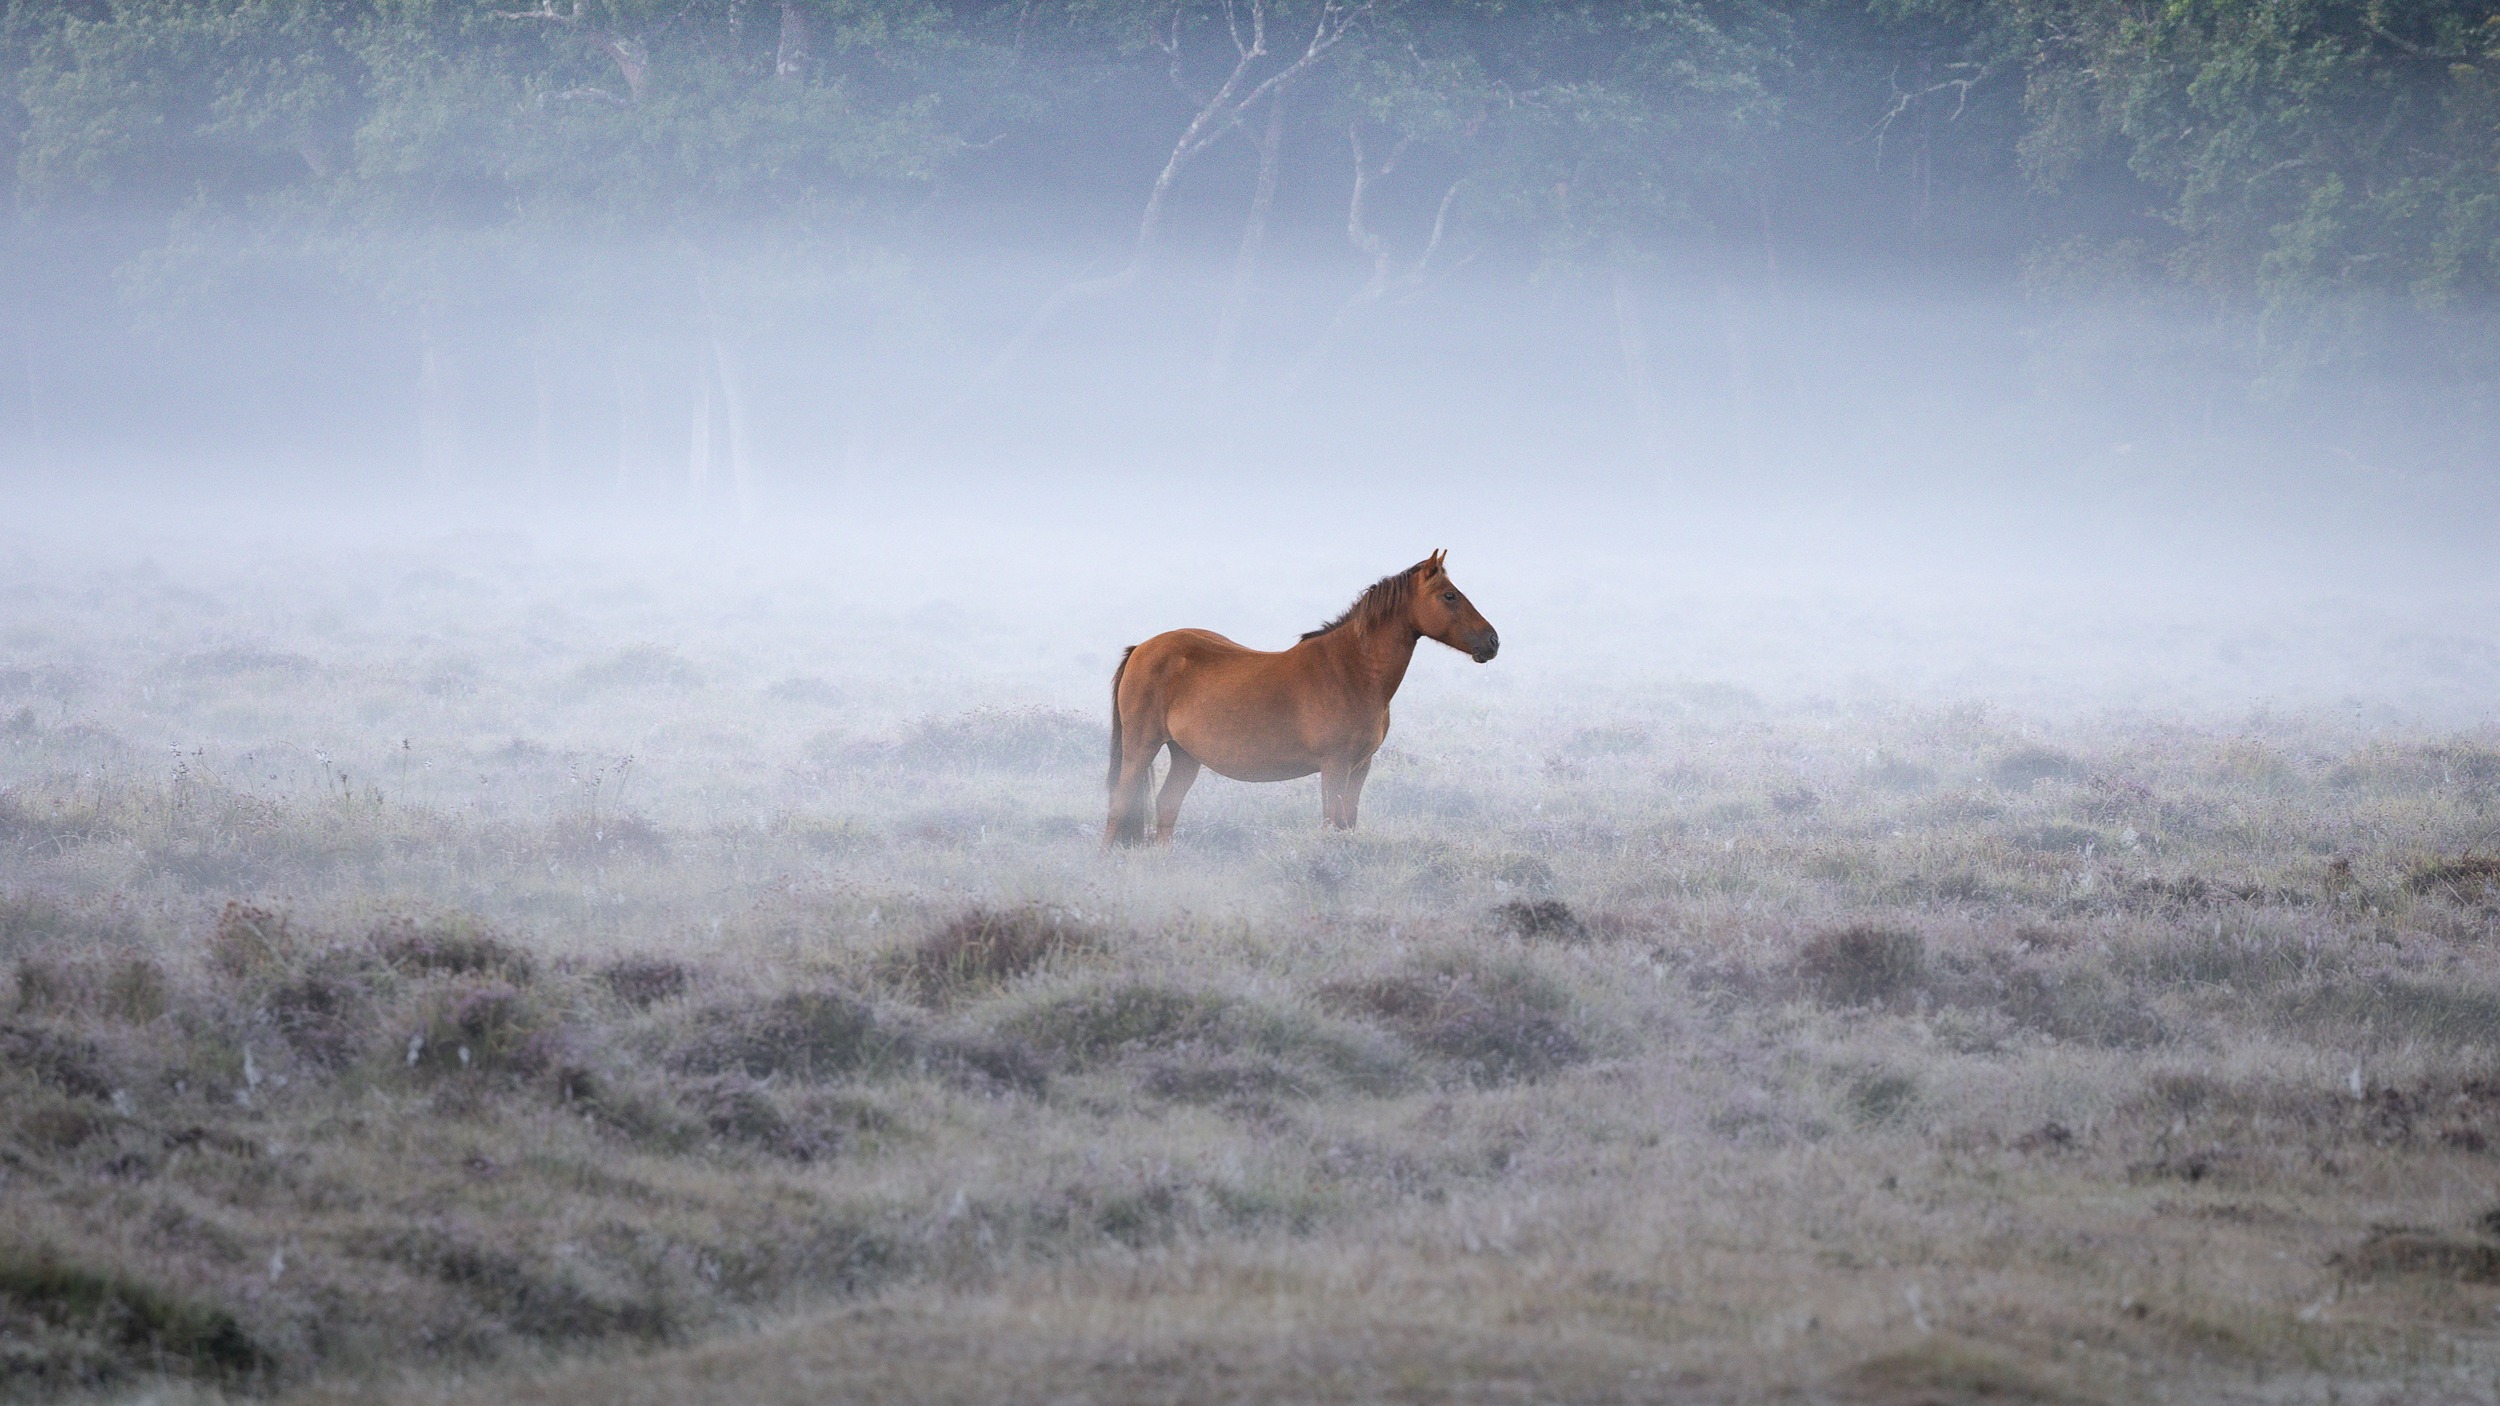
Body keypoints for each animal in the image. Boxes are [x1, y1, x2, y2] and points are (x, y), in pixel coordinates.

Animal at [1103, 550, 1499, 847]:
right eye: (1449, 595)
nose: (1493, 642)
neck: (1352, 670)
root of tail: (1141, 648)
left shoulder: (1361, 767)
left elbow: (1347, 823)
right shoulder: (1335, 766)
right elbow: (1331, 822)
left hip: (1185, 755)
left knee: (1166, 807)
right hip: (1142, 746)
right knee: (1120, 806)